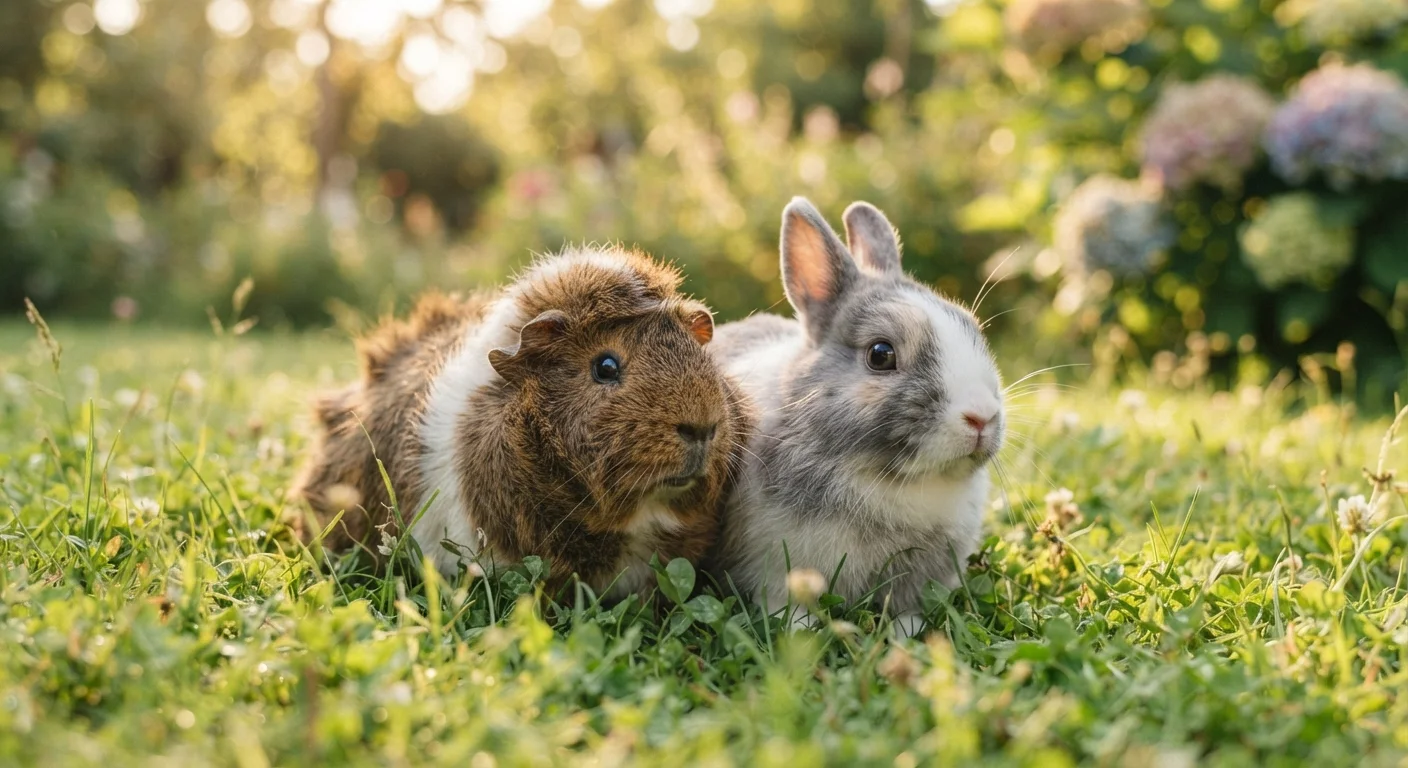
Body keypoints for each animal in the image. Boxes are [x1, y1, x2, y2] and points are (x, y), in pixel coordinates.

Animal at [708, 198, 1005, 626]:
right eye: (880, 354)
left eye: (974, 332)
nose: (981, 417)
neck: (892, 479)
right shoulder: (777, 567)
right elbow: (787, 602)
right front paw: (797, 629)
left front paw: (909, 632)